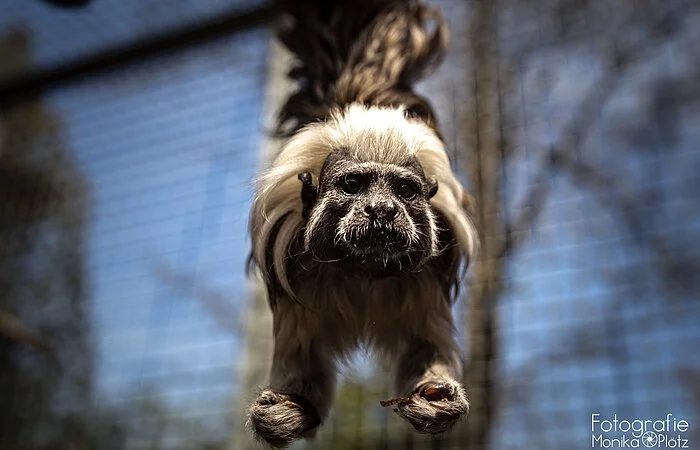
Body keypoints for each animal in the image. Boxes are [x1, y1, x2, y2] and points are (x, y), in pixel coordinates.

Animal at [243, 0, 478, 446]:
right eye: (353, 185)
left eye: (404, 190)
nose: (382, 210)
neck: (362, 269)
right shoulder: (294, 266)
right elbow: (304, 360)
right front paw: (285, 413)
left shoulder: (429, 275)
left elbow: (425, 348)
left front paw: (436, 400)